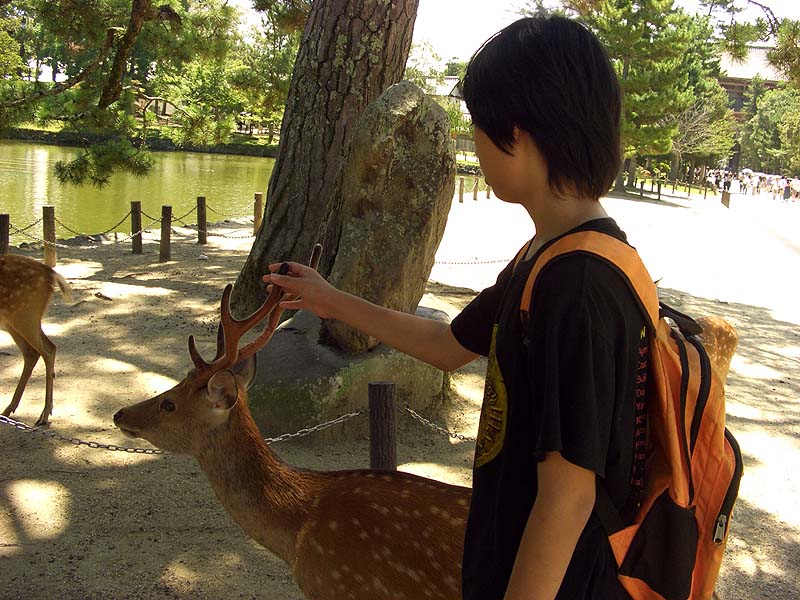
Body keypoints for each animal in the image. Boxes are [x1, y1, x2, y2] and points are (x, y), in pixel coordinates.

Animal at [0, 253, 73, 426]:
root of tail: (51, 274)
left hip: (25, 315)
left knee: (47, 349)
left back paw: (44, 415)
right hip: (15, 321)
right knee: (33, 352)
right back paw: (8, 410)